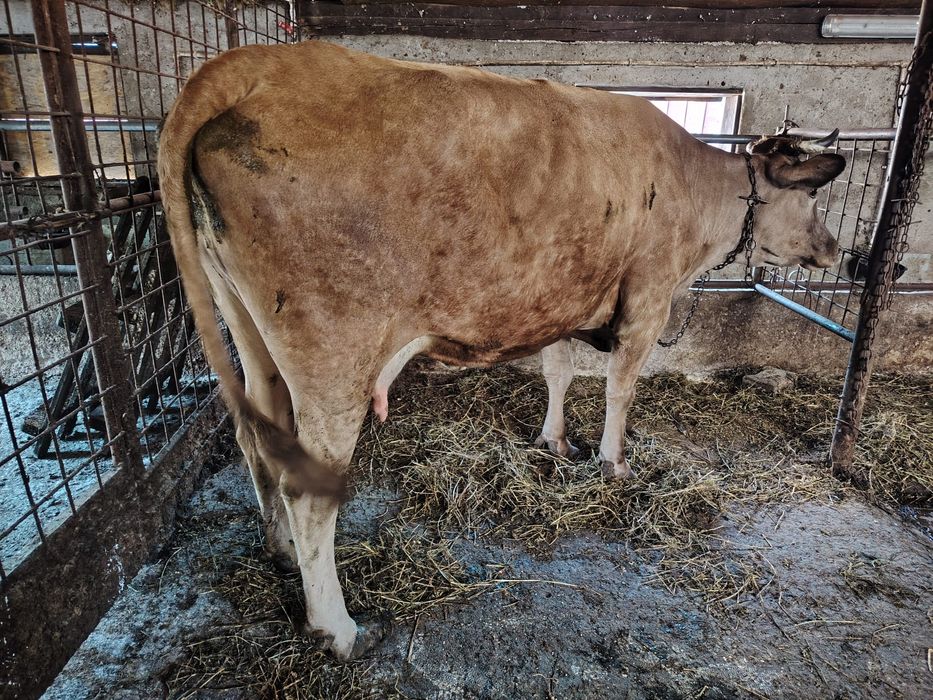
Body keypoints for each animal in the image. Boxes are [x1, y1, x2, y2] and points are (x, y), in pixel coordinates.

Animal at [157, 40, 844, 660]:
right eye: (813, 196)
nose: (838, 251)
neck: (696, 189)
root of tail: (255, 64)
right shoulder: (648, 299)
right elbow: (620, 390)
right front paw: (614, 464)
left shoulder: (565, 296)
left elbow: (559, 372)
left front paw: (555, 441)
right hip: (332, 357)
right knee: (307, 487)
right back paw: (338, 628)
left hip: (250, 334)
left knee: (258, 438)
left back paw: (279, 552)